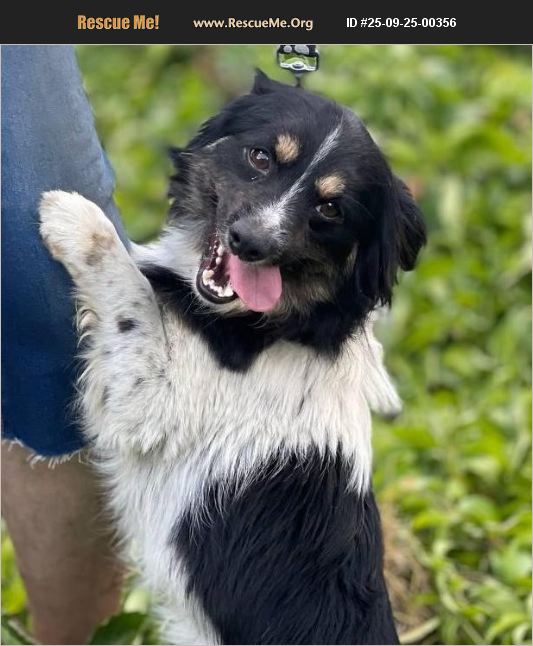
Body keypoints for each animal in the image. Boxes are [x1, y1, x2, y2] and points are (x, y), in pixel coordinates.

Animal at [39, 70, 425, 645]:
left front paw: (74, 218)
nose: (250, 243)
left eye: (330, 209)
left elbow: (130, 291)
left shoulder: (148, 403)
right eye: (260, 157)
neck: (278, 326)